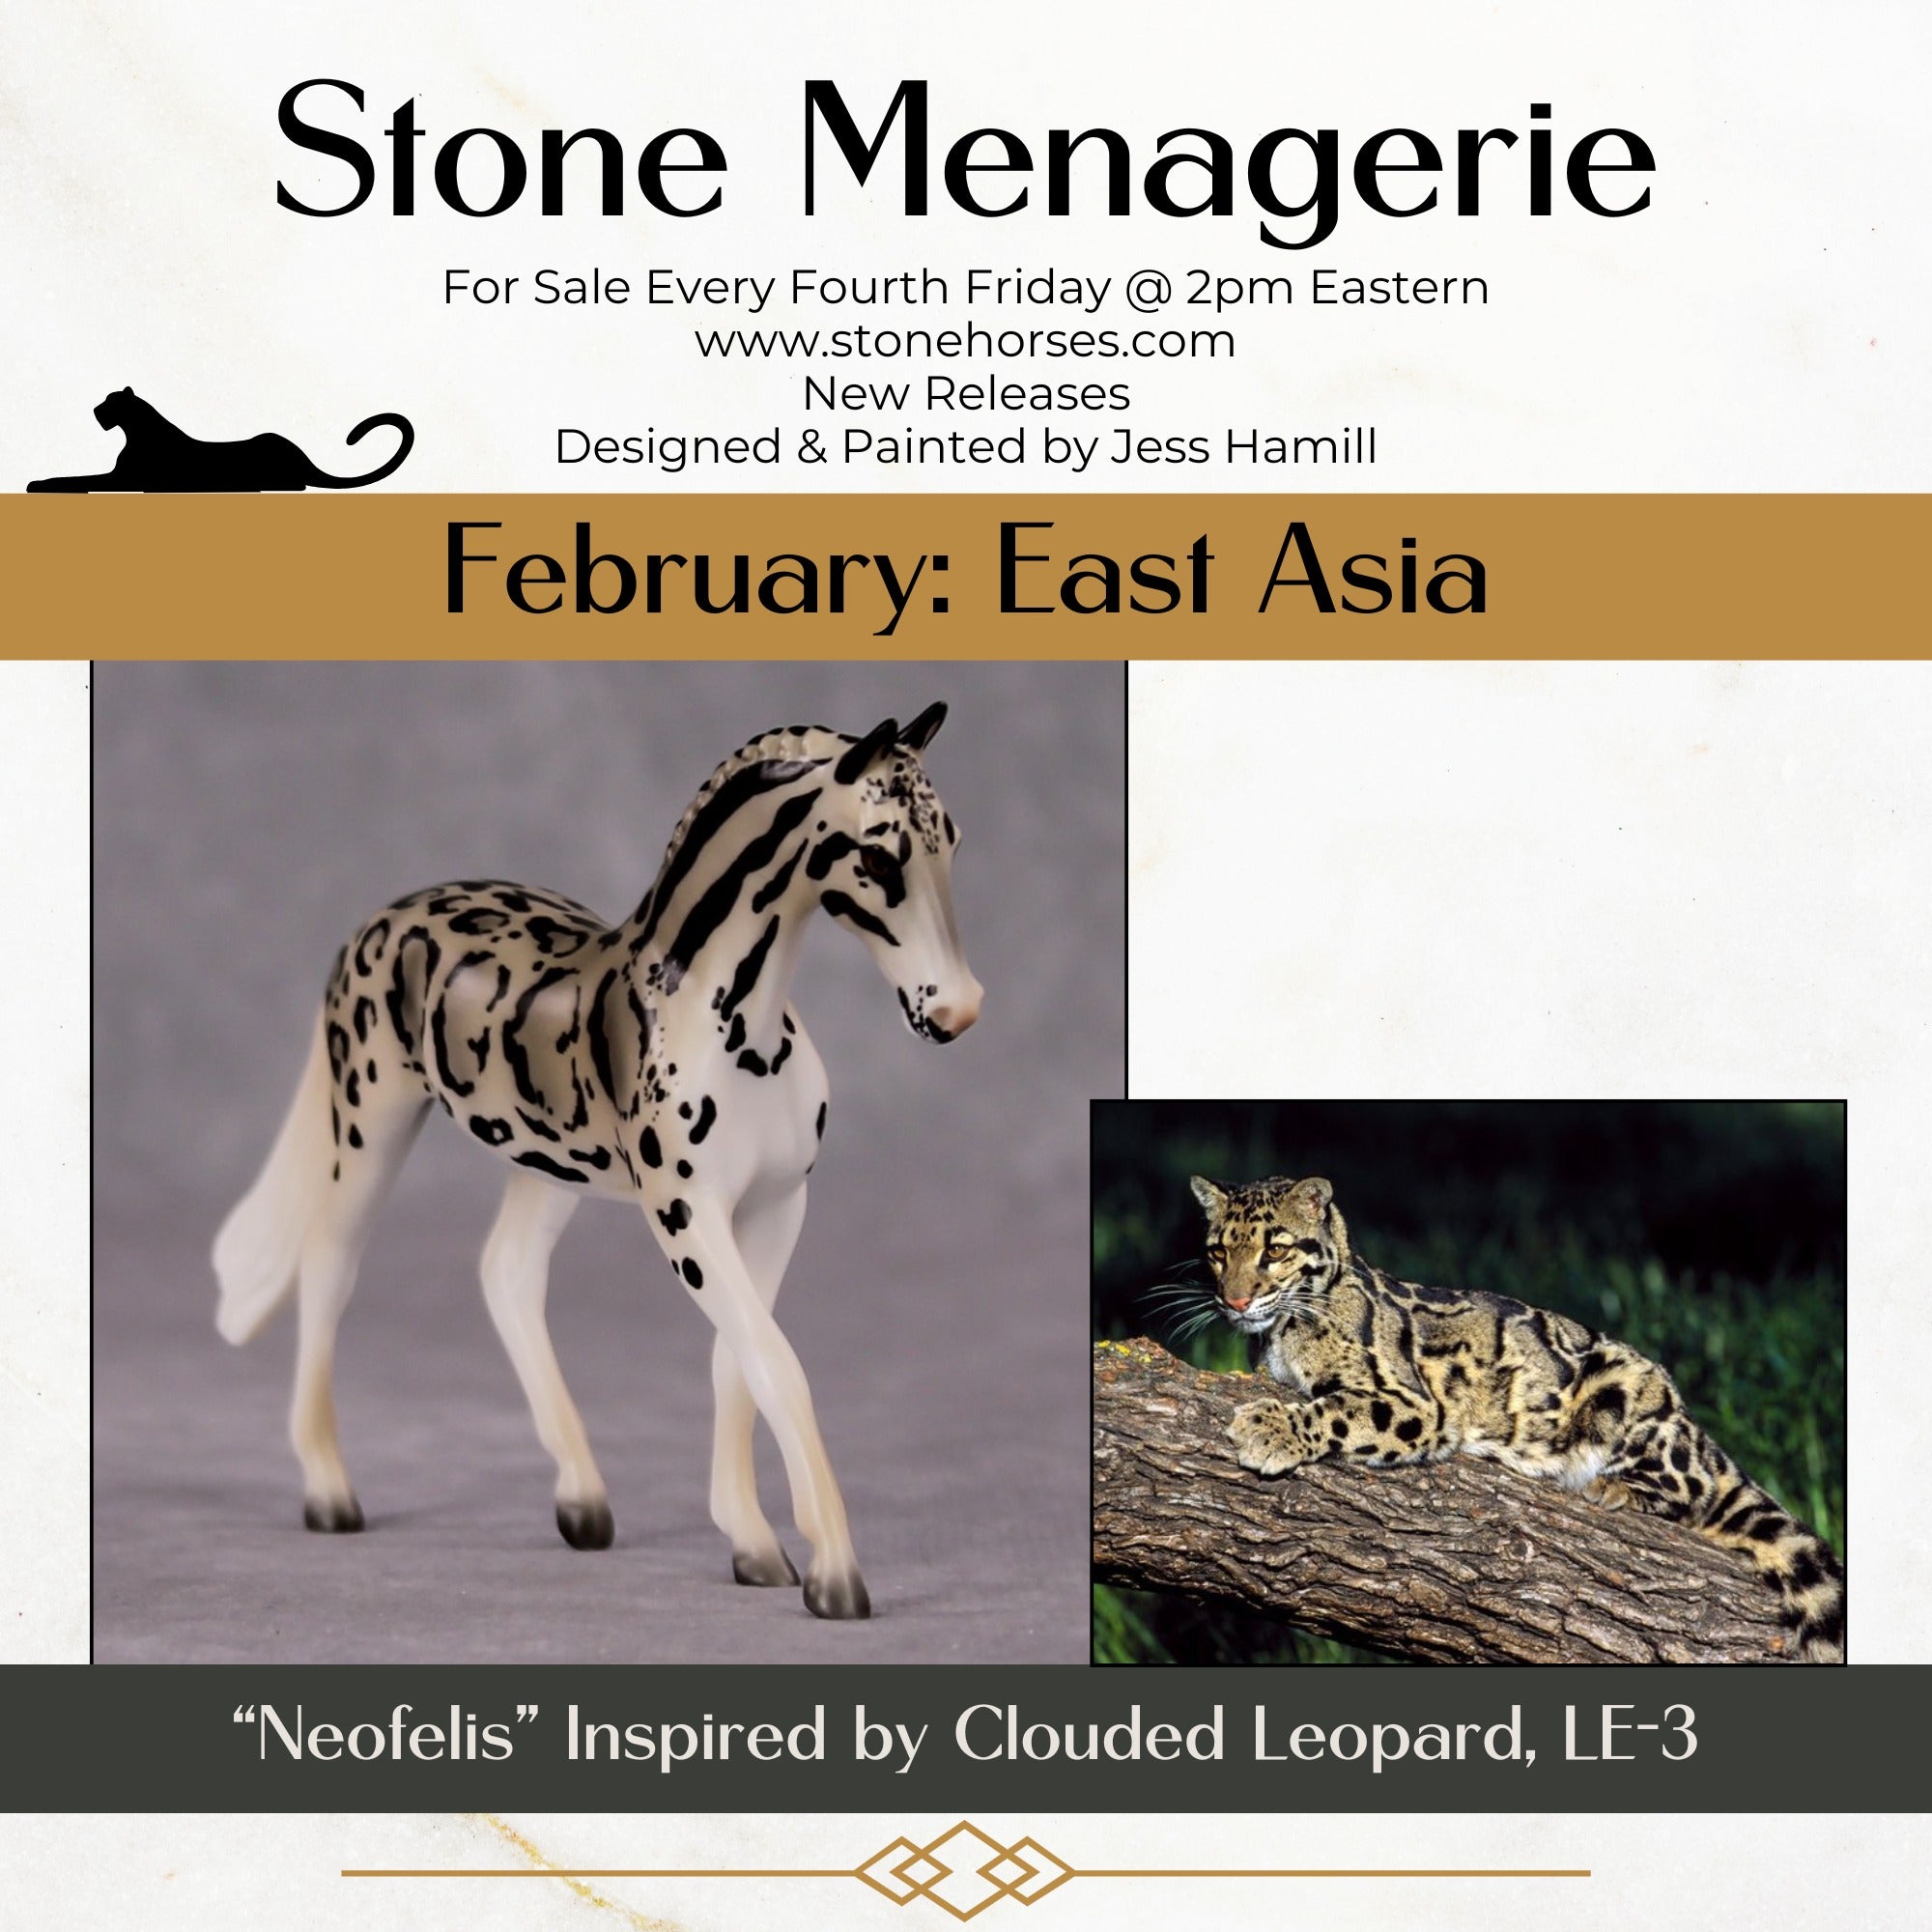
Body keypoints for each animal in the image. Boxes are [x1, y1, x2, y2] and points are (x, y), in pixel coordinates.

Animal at [1189, 1172, 1845, 1662]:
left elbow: (1336, 1409)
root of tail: (1690, 1421)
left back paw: (1619, 1488)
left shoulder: (1413, 1403)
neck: (1280, 1332)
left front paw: (1270, 1429)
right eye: (1218, 1252)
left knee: (1695, 1484)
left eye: (1275, 1249)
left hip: (1628, 1388)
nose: (1234, 1300)